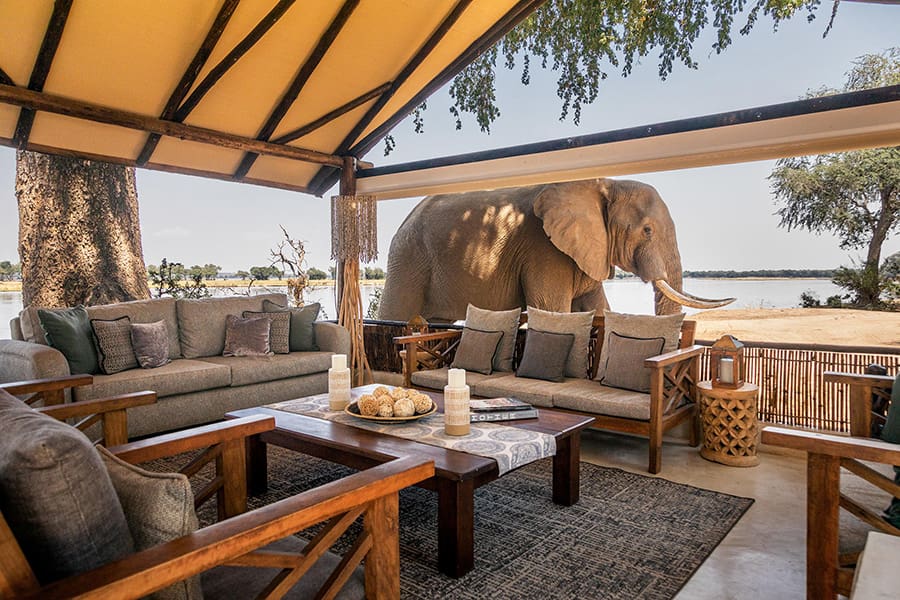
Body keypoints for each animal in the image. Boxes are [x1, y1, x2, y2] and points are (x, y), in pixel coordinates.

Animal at [376, 177, 736, 324]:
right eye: (647, 230)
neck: (603, 183)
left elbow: (598, 308)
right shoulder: (542, 250)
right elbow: (552, 310)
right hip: (408, 259)